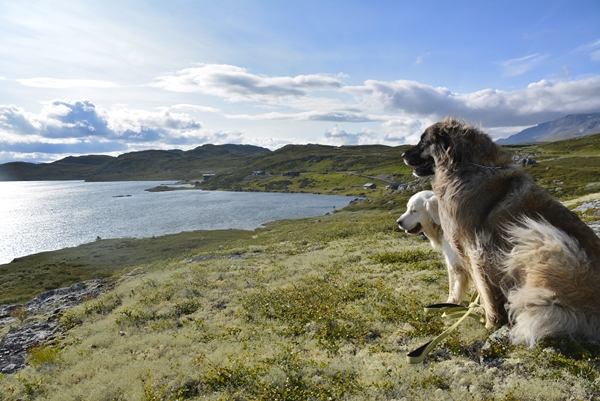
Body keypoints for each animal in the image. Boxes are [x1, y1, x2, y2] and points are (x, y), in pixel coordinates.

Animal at [400, 117, 600, 346]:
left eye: (423, 141)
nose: (402, 155)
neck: (464, 166)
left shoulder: (476, 249)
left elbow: (485, 290)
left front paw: (490, 323)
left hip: (541, 238)